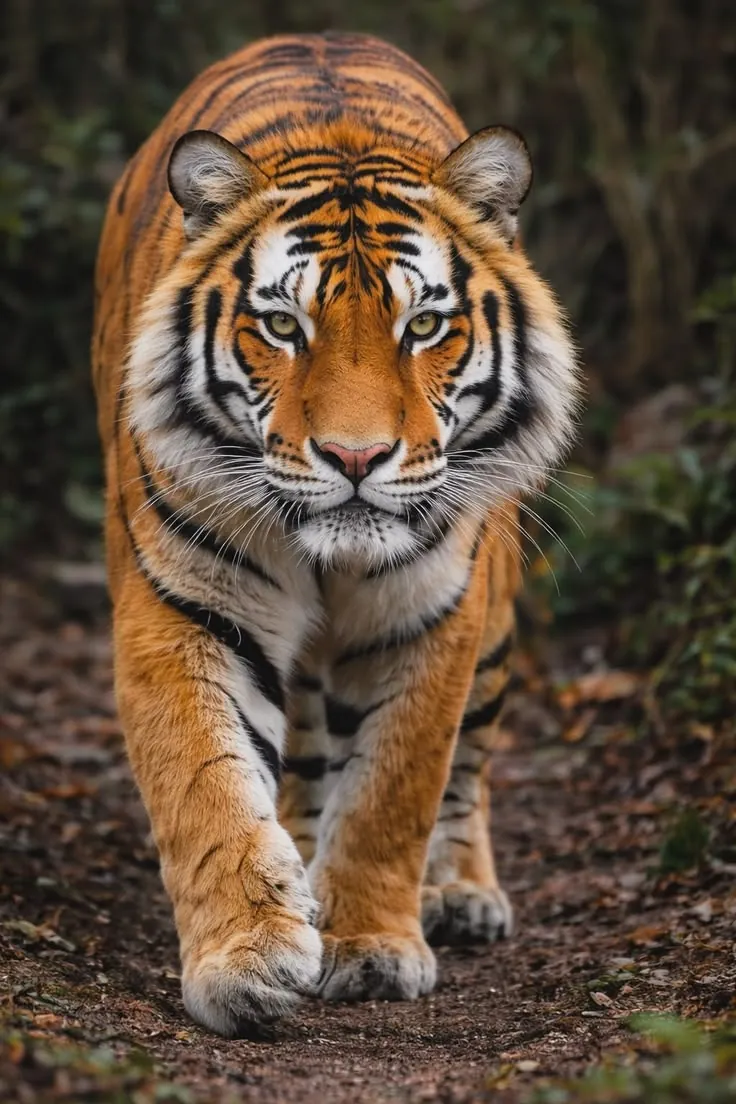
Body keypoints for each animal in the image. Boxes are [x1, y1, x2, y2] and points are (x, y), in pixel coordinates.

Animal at [92, 31, 580, 1036]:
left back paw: (461, 893)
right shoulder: (182, 609)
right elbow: (206, 784)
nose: (356, 456)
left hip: (497, 617)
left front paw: (369, 946)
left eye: (424, 323)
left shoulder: (431, 617)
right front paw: (247, 957)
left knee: (468, 765)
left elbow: (397, 788)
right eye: (282, 324)